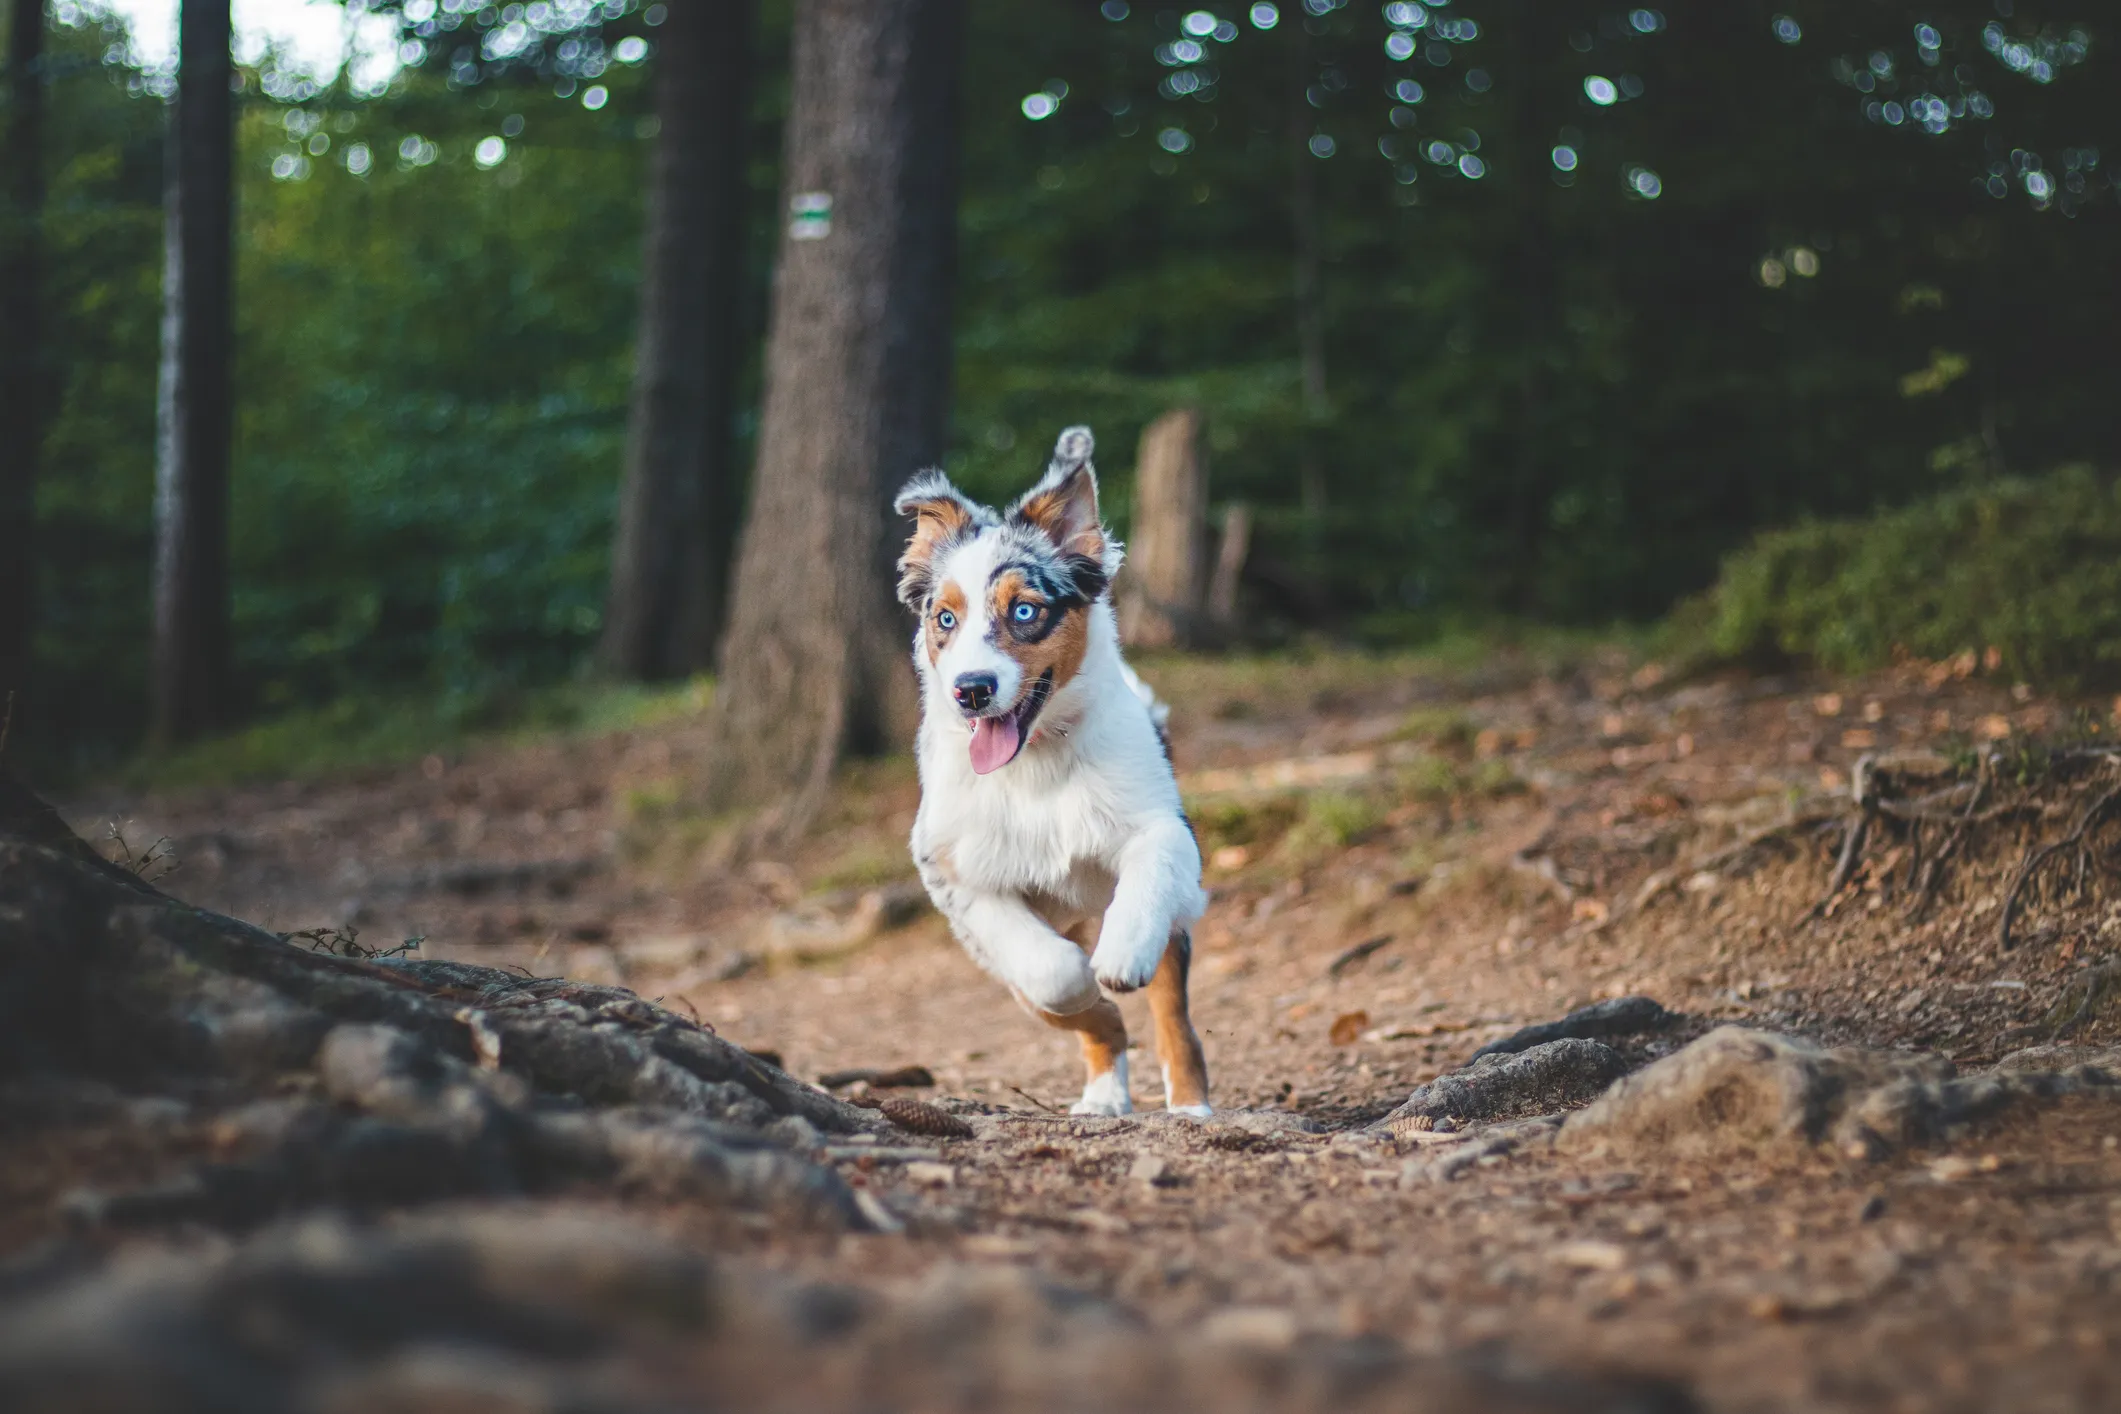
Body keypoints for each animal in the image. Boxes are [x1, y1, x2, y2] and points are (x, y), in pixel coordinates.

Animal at [886, 423, 1213, 1119]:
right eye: (944, 619)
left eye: (1025, 611)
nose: (971, 691)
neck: (1036, 766)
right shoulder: (953, 874)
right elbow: (1054, 974)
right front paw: (1091, 989)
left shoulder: (1166, 828)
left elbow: (1146, 880)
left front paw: (1118, 958)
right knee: (1075, 1010)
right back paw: (1102, 1092)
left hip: (1175, 925)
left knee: (1173, 1013)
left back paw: (1189, 1104)